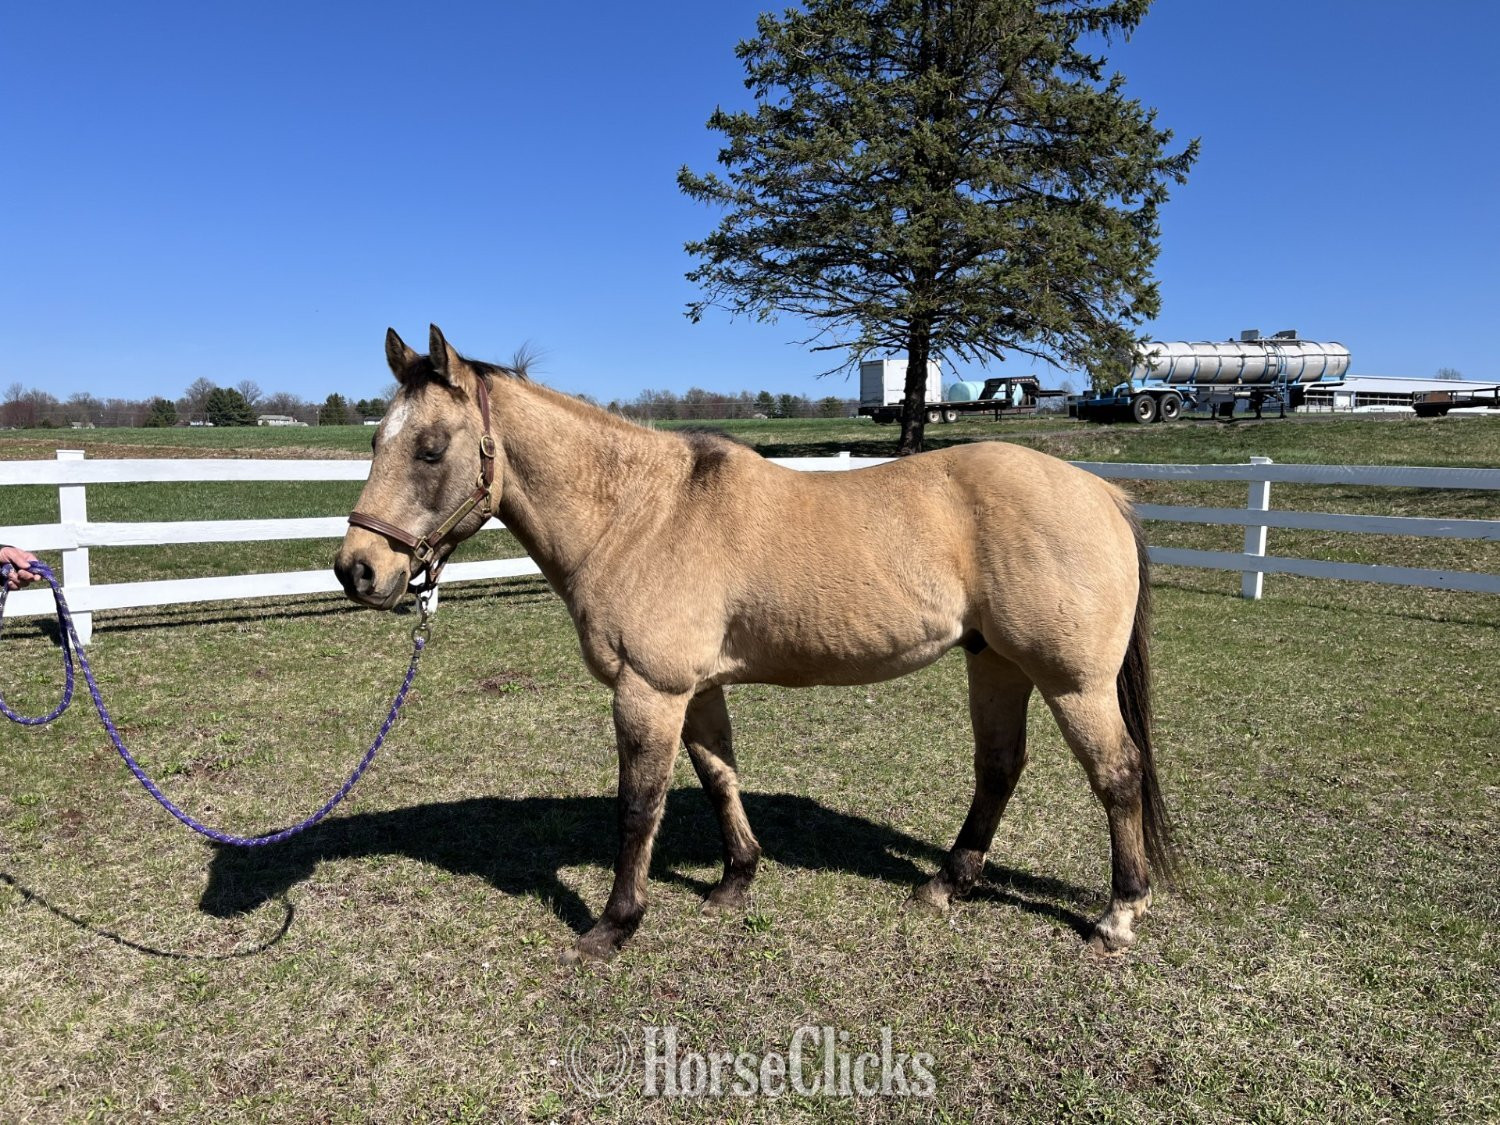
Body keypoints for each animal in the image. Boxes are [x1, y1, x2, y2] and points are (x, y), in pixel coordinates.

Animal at [334, 326, 1174, 962]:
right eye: (378, 439)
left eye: (432, 447)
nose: (358, 569)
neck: (641, 513)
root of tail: (1103, 491)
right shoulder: (697, 688)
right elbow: (719, 778)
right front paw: (735, 880)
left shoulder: (649, 691)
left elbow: (638, 806)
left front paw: (614, 924)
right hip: (994, 662)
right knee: (999, 768)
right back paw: (945, 883)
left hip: (1071, 682)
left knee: (1118, 774)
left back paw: (1117, 914)